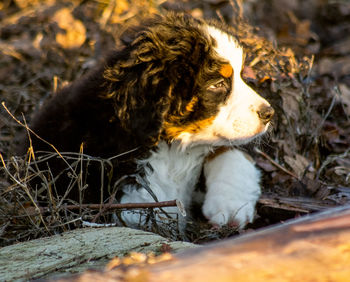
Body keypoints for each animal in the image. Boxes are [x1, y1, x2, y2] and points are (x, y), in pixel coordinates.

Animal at [19, 12, 274, 229]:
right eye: (217, 84)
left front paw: (232, 206)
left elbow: (230, 150)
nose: (269, 113)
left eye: (240, 74)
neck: (174, 148)